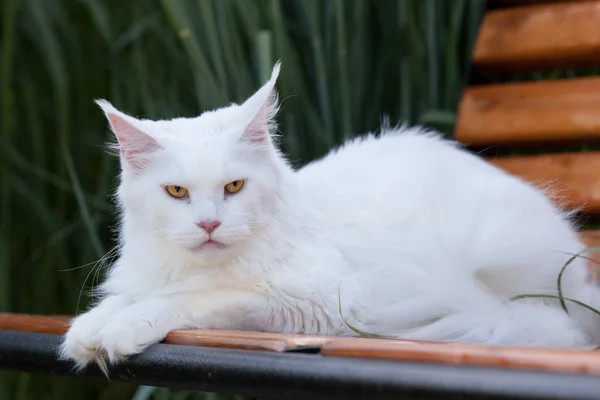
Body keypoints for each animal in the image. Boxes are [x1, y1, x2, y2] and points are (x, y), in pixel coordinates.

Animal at [59, 62, 600, 372]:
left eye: (234, 187)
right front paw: (88, 333)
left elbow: (195, 298)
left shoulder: (318, 301)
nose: (209, 225)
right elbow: (122, 299)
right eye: (176, 192)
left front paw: (125, 329)